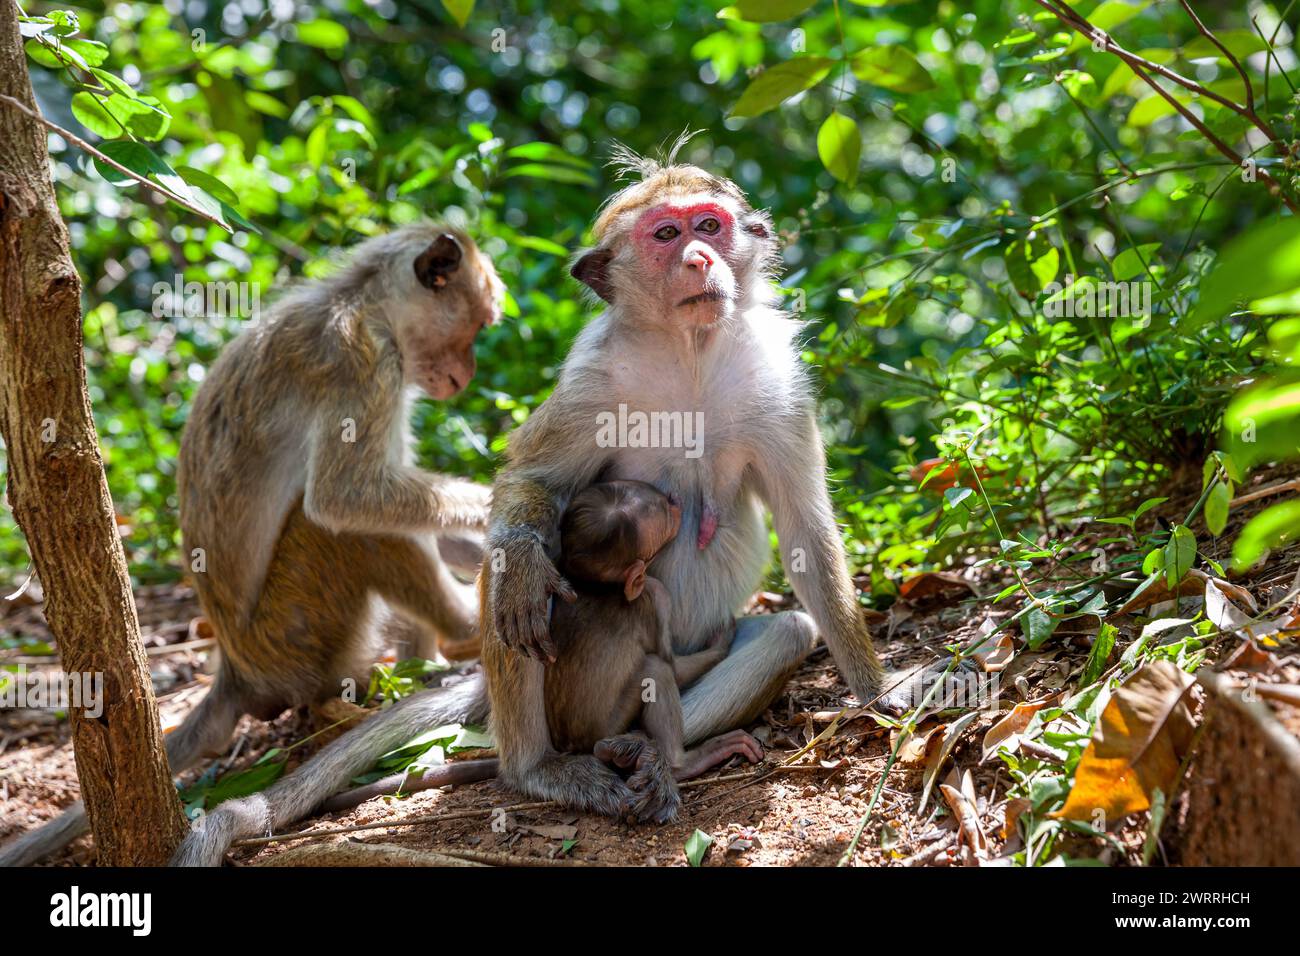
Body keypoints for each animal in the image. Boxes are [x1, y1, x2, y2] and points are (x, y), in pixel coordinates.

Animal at [0, 223, 502, 867]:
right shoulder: (361, 362)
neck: (366, 301)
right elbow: (348, 497)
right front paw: (500, 505)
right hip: (298, 629)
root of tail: (239, 670)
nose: (466, 374)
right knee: (336, 525)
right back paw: (464, 632)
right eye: (475, 327)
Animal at [167, 143, 897, 866]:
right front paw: (519, 559)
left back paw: (656, 751)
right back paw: (538, 763)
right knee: (519, 593)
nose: (699, 258)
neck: (688, 350)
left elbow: (805, 532)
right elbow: (535, 487)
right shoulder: (589, 380)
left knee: (780, 633)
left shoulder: (780, 383)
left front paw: (876, 695)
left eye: (710, 226)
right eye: (666, 234)